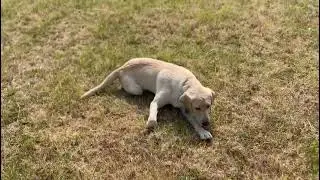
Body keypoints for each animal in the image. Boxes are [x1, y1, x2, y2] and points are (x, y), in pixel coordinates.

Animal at [81, 58, 216, 140]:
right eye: (197, 107)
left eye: (208, 106)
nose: (206, 123)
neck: (185, 83)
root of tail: (122, 67)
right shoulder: (156, 101)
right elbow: (153, 111)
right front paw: (151, 122)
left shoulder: (185, 109)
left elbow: (194, 121)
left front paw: (202, 131)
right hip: (136, 89)